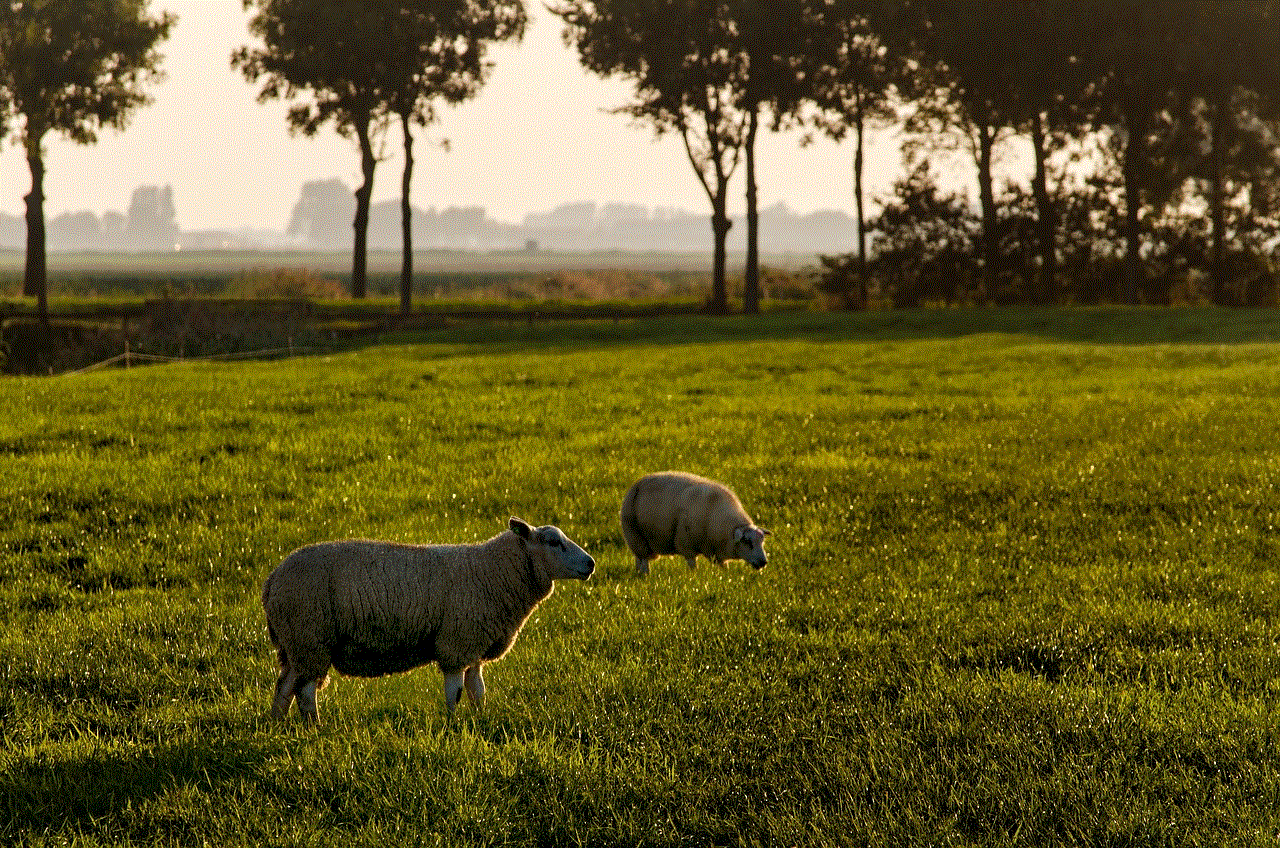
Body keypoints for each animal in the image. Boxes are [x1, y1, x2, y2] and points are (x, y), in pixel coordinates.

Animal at [263, 517, 599, 722]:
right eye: (553, 542)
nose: (591, 564)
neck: (493, 572)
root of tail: (272, 581)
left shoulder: (473, 645)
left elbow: (477, 690)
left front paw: (481, 720)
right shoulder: (456, 643)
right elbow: (455, 692)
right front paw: (453, 725)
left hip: (294, 644)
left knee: (285, 687)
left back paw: (279, 726)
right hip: (310, 637)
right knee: (306, 693)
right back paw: (314, 729)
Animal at [619, 471, 768, 578]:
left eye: (762, 542)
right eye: (747, 541)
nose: (763, 562)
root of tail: (638, 482)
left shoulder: (716, 551)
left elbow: (723, 567)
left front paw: (726, 577)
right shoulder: (686, 543)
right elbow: (692, 565)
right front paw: (694, 578)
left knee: (638, 559)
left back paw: (639, 574)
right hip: (635, 536)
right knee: (644, 560)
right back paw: (646, 576)